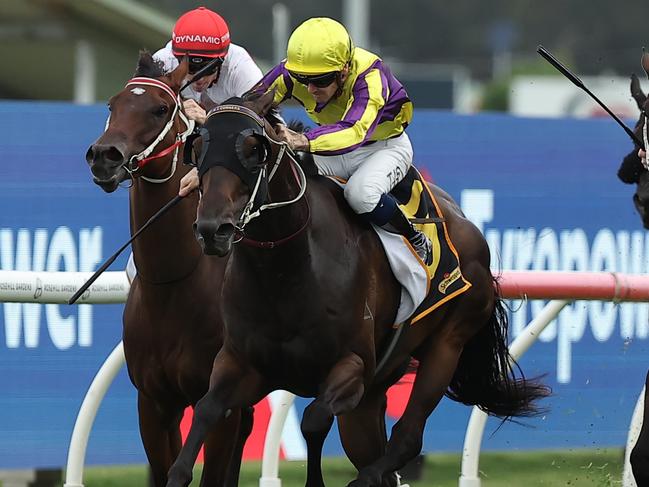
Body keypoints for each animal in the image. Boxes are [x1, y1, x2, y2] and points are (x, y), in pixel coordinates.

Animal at [84, 51, 251, 486]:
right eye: (111, 105)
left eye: (160, 109)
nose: (103, 155)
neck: (174, 284)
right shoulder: (154, 404)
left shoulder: (218, 403)